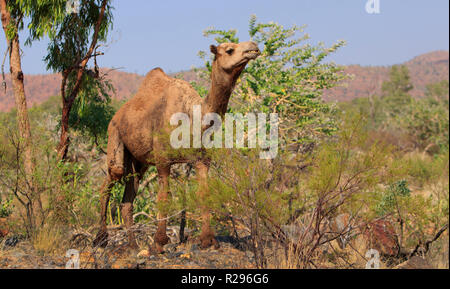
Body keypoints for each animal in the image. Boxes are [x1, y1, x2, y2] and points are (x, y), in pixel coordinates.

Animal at [94, 41, 260, 252]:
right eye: (229, 50)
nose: (253, 47)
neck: (193, 116)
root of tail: (117, 115)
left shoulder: (202, 159)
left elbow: (204, 193)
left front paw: (208, 240)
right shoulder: (163, 158)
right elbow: (164, 196)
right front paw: (159, 241)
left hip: (139, 161)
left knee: (127, 199)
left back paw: (133, 245)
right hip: (115, 137)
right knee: (110, 180)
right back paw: (100, 239)